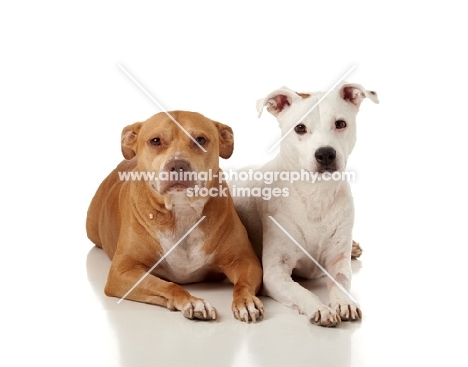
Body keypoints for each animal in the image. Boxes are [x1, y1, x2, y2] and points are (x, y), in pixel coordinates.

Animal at [86, 111, 266, 322]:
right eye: (155, 141)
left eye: (200, 140)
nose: (178, 164)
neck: (182, 209)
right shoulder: (123, 271)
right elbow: (166, 285)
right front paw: (192, 301)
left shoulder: (244, 260)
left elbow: (243, 284)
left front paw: (246, 301)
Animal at [232, 83, 378, 328]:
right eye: (300, 128)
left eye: (340, 123)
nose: (325, 154)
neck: (315, 195)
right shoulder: (275, 272)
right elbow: (301, 291)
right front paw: (319, 307)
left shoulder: (338, 260)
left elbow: (340, 280)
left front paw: (344, 303)